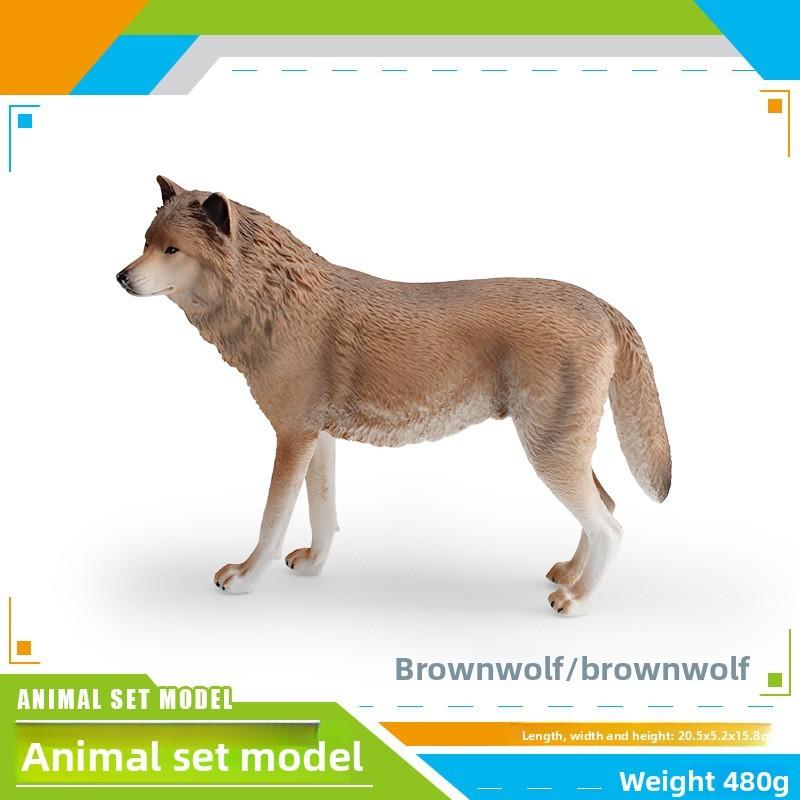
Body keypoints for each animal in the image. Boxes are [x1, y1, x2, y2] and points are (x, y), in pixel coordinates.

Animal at [116, 177, 671, 615]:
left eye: (172, 250)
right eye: (146, 242)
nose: (121, 277)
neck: (274, 302)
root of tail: (600, 304)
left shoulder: (291, 436)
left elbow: (272, 521)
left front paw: (246, 578)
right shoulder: (317, 438)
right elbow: (322, 514)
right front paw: (314, 567)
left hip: (549, 450)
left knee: (610, 527)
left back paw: (577, 600)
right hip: (561, 446)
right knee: (606, 507)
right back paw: (570, 574)